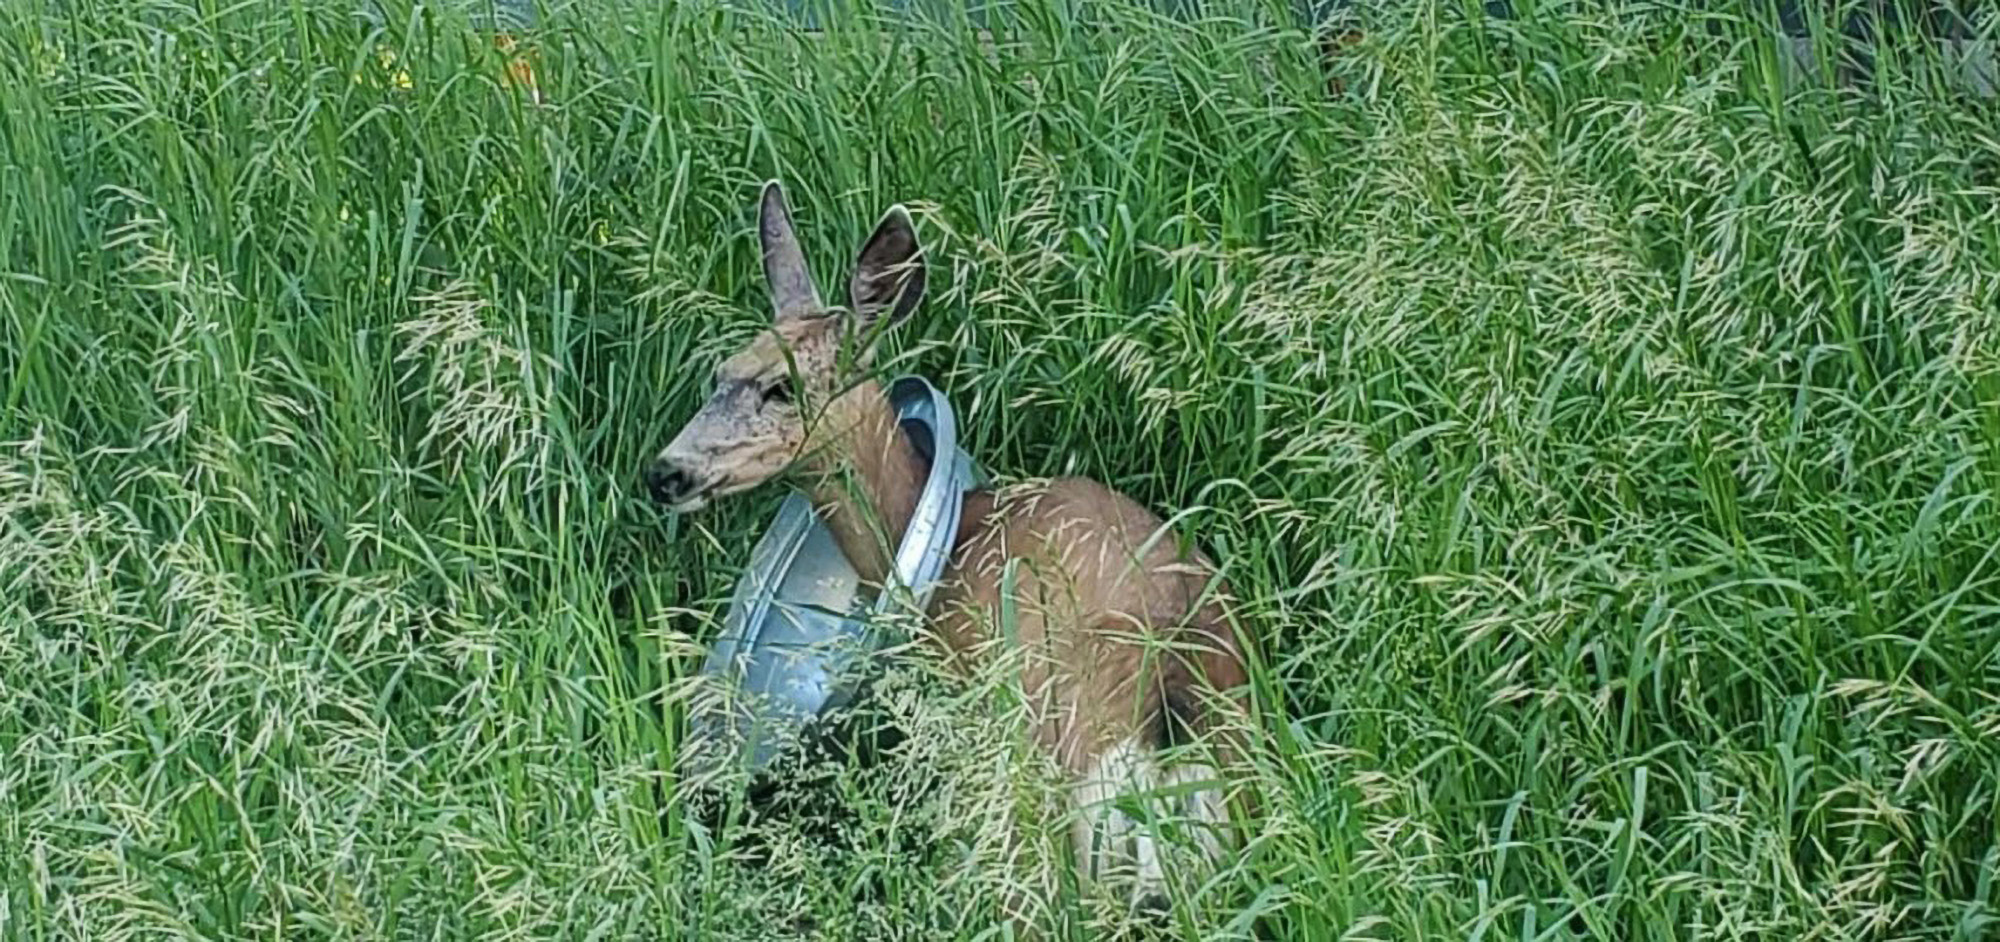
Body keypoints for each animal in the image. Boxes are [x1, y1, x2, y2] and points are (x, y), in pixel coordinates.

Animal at [648, 183, 1256, 928]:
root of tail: (1168, 712)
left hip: (1037, 763)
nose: (666, 473)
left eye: (781, 387)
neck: (948, 535)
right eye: (720, 372)